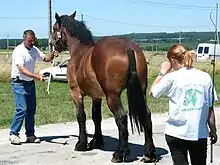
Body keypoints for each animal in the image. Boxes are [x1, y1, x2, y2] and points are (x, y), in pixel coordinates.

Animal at [50, 10, 156, 163]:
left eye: (54, 28)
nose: (51, 43)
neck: (79, 52)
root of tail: (128, 47)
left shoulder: (76, 93)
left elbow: (81, 116)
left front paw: (81, 144)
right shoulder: (96, 96)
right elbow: (96, 117)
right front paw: (96, 142)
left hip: (112, 96)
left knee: (121, 117)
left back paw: (119, 153)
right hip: (141, 91)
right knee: (146, 114)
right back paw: (149, 153)